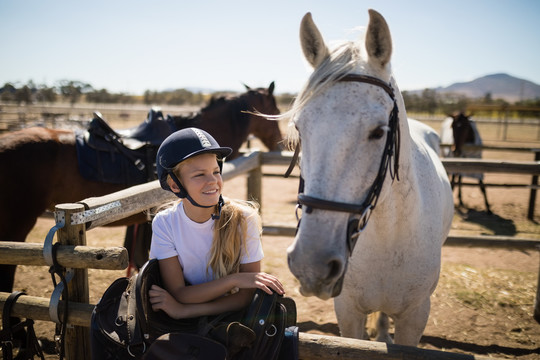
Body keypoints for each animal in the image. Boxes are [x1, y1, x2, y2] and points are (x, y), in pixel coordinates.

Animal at [284, 9, 454, 346]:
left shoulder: (416, 315)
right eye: (299, 129)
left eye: (378, 131)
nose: (311, 264)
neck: (389, 237)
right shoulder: (348, 311)